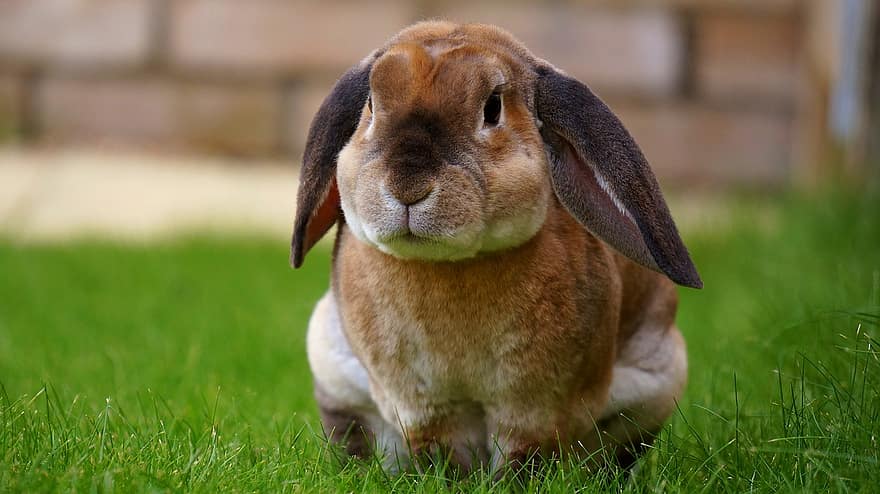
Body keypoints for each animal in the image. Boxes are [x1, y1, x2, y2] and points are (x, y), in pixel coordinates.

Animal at [288, 20, 700, 474]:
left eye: (492, 108)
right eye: (372, 107)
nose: (408, 187)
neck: (450, 265)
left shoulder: (534, 406)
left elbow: (523, 454)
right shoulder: (425, 406)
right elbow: (442, 452)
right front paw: (449, 479)